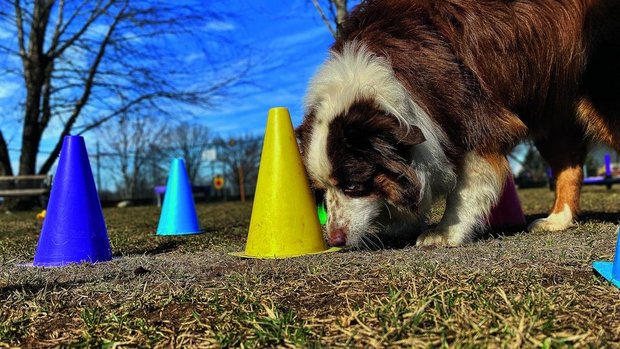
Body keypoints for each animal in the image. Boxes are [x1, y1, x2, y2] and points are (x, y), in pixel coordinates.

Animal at [296, 1, 620, 249]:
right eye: (321, 190)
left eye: (352, 185)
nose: (335, 240)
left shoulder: (472, 111)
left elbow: (466, 184)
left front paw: (445, 231)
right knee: (570, 166)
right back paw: (556, 220)